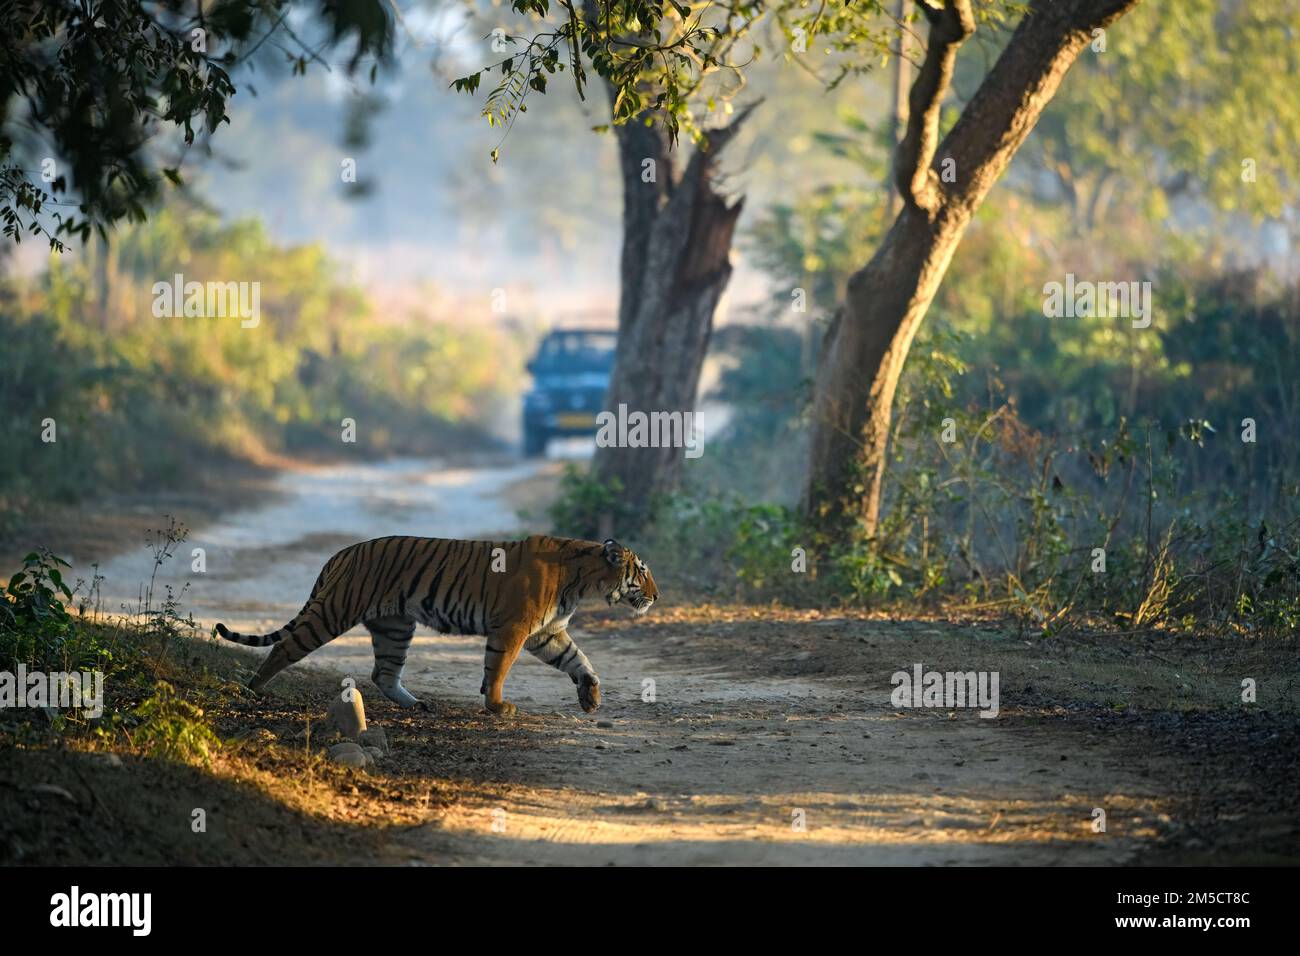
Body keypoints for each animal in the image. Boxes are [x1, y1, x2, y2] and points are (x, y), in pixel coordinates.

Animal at [218, 535, 660, 712]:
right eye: (642, 572)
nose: (657, 596)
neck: (584, 581)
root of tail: (342, 552)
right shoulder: (514, 629)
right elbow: (498, 668)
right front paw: (497, 706)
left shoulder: (545, 633)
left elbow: (578, 659)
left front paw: (591, 696)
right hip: (335, 612)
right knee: (284, 646)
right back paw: (252, 689)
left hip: (395, 626)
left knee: (383, 673)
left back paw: (417, 704)